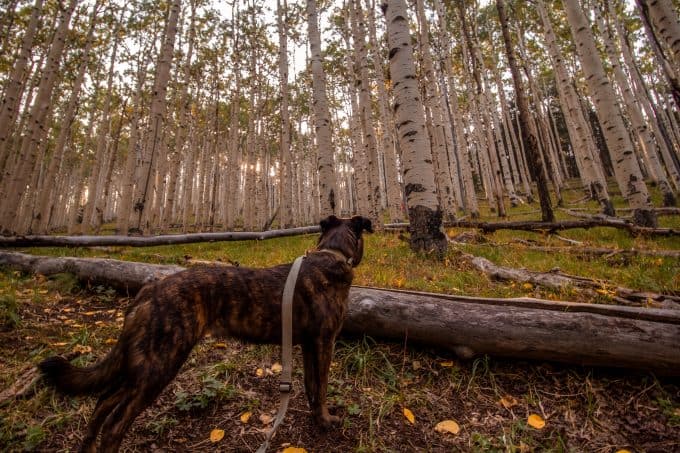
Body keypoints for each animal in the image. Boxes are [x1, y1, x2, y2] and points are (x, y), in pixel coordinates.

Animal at [39, 215, 370, 452]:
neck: (332, 254)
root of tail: (148, 291)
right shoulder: (324, 343)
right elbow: (322, 387)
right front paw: (326, 421)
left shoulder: (308, 345)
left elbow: (311, 386)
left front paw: (316, 418)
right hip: (160, 364)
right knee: (114, 424)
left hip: (142, 364)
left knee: (102, 402)